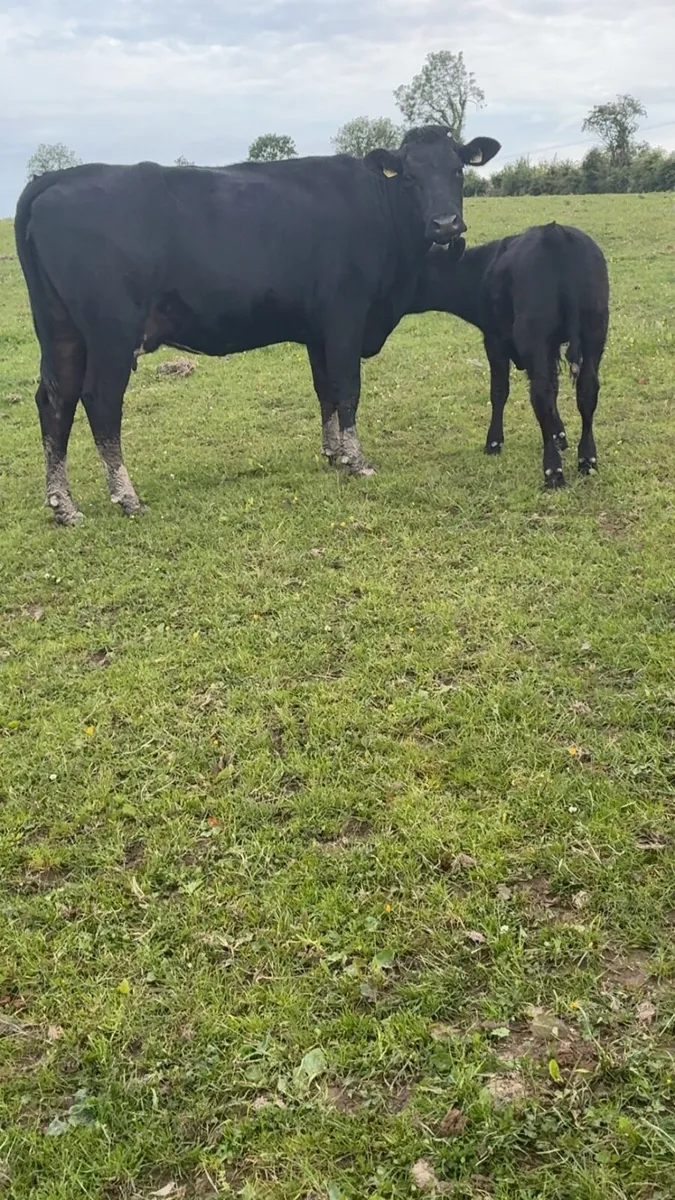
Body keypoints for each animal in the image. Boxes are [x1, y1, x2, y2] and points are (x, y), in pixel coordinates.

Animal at [15, 126, 500, 524]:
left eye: (457, 171)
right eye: (411, 176)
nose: (445, 224)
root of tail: (56, 178)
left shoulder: (317, 331)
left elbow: (324, 390)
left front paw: (333, 453)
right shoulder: (345, 317)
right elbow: (347, 389)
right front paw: (358, 461)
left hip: (61, 333)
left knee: (54, 402)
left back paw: (63, 505)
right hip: (111, 334)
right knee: (100, 402)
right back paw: (127, 497)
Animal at [409, 223, 609, 487]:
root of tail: (555, 232)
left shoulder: (494, 340)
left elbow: (499, 391)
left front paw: (494, 443)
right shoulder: (551, 347)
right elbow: (555, 388)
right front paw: (560, 435)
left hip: (534, 334)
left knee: (540, 394)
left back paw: (553, 471)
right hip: (595, 330)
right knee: (586, 389)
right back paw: (587, 460)